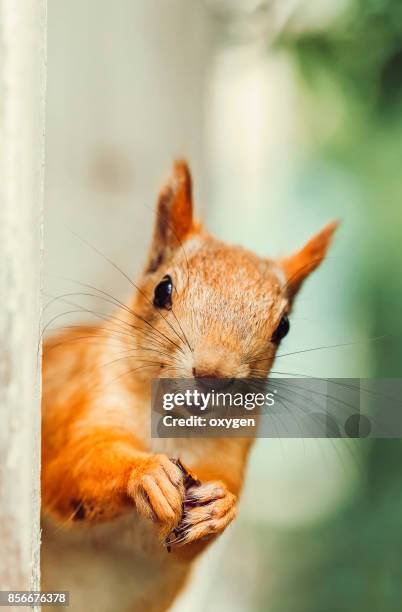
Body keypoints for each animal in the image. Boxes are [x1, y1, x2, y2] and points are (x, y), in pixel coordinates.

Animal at [41, 163, 336, 612]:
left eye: (283, 327)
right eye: (162, 290)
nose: (212, 373)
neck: (173, 427)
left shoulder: (229, 456)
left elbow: (189, 544)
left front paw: (220, 507)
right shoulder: (83, 404)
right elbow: (71, 469)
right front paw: (145, 473)